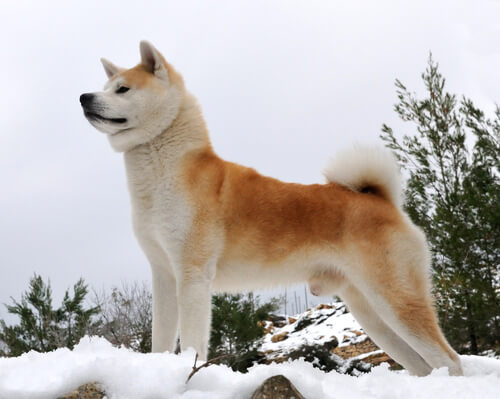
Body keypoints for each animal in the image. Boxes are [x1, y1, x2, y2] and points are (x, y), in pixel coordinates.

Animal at [80, 41, 462, 378]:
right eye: (106, 87)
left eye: (123, 89)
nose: (84, 97)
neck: (163, 174)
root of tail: (381, 199)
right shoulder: (164, 274)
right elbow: (160, 340)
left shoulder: (192, 275)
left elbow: (191, 342)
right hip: (371, 313)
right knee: (425, 366)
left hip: (395, 301)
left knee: (451, 360)